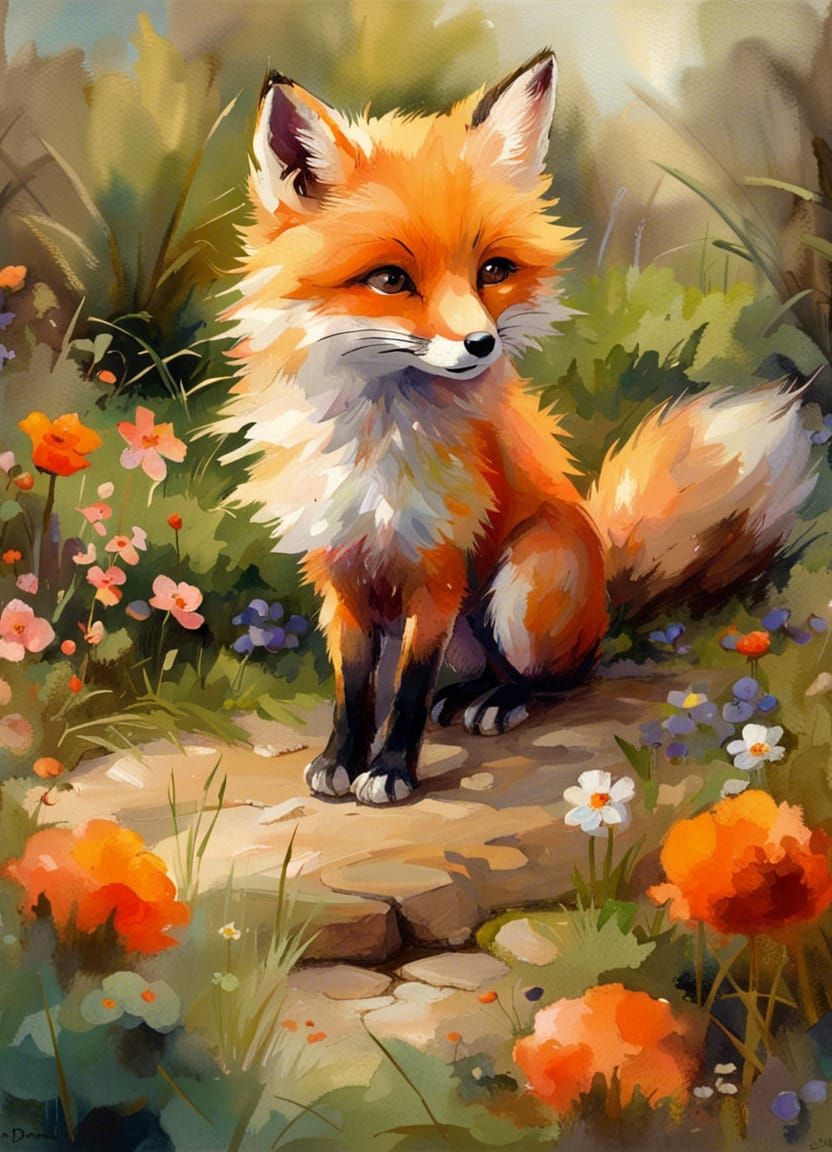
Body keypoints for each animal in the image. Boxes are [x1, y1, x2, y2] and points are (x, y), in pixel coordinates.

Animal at [216, 51, 814, 806]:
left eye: (493, 270)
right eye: (390, 280)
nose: (481, 344)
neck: (378, 445)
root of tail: (605, 580)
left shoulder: (440, 571)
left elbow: (407, 690)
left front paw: (391, 770)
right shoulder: (341, 572)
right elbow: (355, 687)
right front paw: (342, 760)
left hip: (520, 593)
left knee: (564, 673)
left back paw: (500, 701)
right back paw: (467, 695)